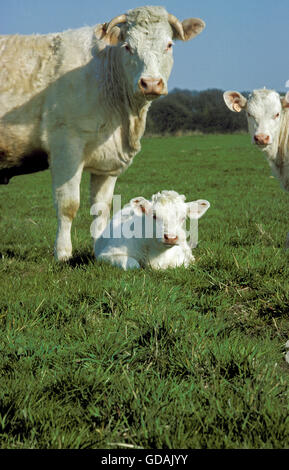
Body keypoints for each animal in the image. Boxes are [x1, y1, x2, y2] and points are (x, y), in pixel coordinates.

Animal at [0, 5, 205, 260]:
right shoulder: (66, 147)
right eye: (127, 46)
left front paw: (100, 249)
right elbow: (68, 205)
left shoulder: (107, 162)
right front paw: (63, 253)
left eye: (169, 44)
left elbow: (102, 209)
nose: (150, 83)